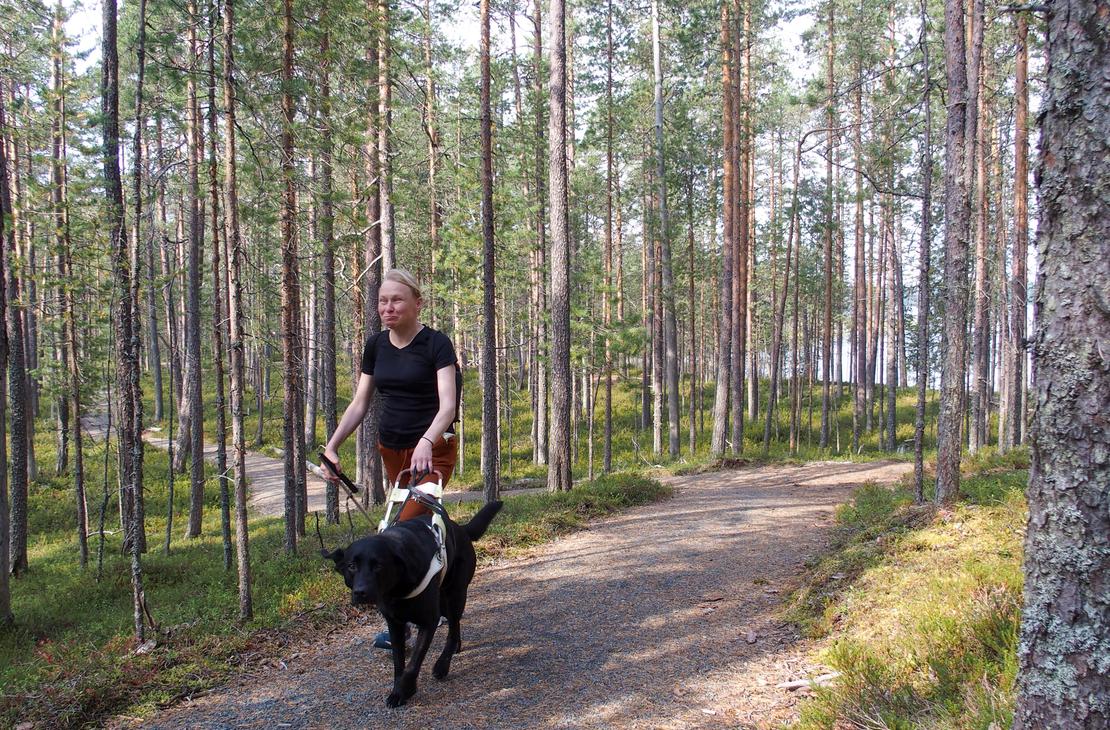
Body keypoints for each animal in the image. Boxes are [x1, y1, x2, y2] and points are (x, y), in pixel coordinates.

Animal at [323, 500, 503, 707]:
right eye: (351, 566)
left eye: (378, 565)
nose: (361, 592)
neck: (396, 589)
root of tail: (461, 529)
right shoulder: (395, 624)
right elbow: (399, 662)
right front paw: (398, 687)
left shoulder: (429, 621)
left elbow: (413, 663)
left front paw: (403, 692)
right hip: (443, 601)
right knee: (454, 625)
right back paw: (456, 648)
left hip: (455, 595)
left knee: (452, 627)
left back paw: (442, 665)